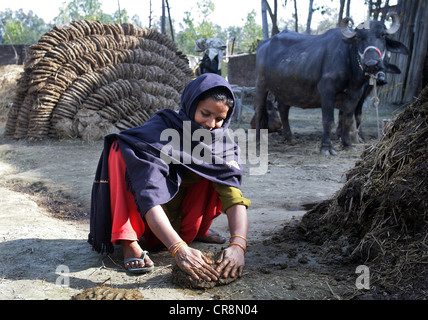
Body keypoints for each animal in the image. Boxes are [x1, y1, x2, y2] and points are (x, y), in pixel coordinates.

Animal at [254, 13, 408, 155]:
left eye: (382, 35)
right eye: (358, 37)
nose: (371, 64)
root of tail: (263, 44)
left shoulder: (355, 95)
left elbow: (347, 120)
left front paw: (347, 144)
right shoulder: (327, 91)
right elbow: (328, 121)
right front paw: (327, 148)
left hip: (286, 89)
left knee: (283, 109)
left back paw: (290, 138)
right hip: (261, 85)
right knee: (260, 111)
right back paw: (257, 141)